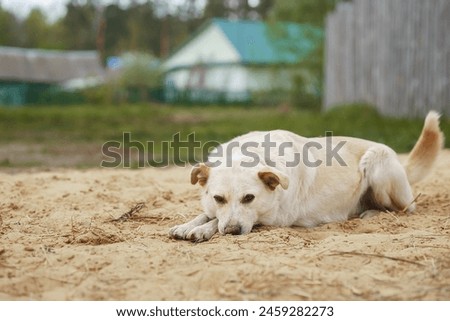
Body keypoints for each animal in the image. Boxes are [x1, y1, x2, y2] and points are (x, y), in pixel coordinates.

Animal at [169, 111, 442, 241]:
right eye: (218, 198)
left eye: (249, 198)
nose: (233, 231)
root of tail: (400, 161)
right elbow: (208, 214)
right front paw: (188, 225)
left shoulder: (274, 218)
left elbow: (216, 220)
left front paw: (202, 231)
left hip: (377, 163)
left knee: (405, 208)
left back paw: (371, 213)